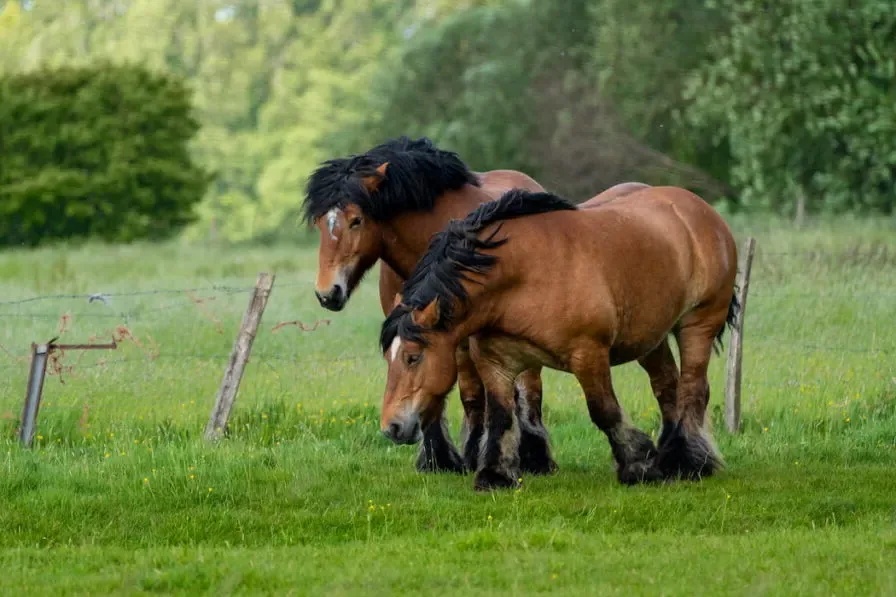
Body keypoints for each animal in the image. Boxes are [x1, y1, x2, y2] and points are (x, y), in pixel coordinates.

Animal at [302, 136, 648, 476]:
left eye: (356, 220)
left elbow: (473, 395)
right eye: (319, 223)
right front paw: (438, 459)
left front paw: (472, 455)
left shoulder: (463, 337)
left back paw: (535, 457)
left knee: (528, 389)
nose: (327, 293)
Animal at [378, 187, 738, 491]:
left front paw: (638, 466)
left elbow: (604, 411)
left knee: (693, 389)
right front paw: (495, 475)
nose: (391, 427)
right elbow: (500, 416)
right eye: (389, 358)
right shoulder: (495, 363)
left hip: (697, 325)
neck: (521, 275)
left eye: (413, 356)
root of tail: (702, 211)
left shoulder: (588, 354)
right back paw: (672, 456)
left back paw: (688, 463)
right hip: (652, 337)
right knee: (667, 387)